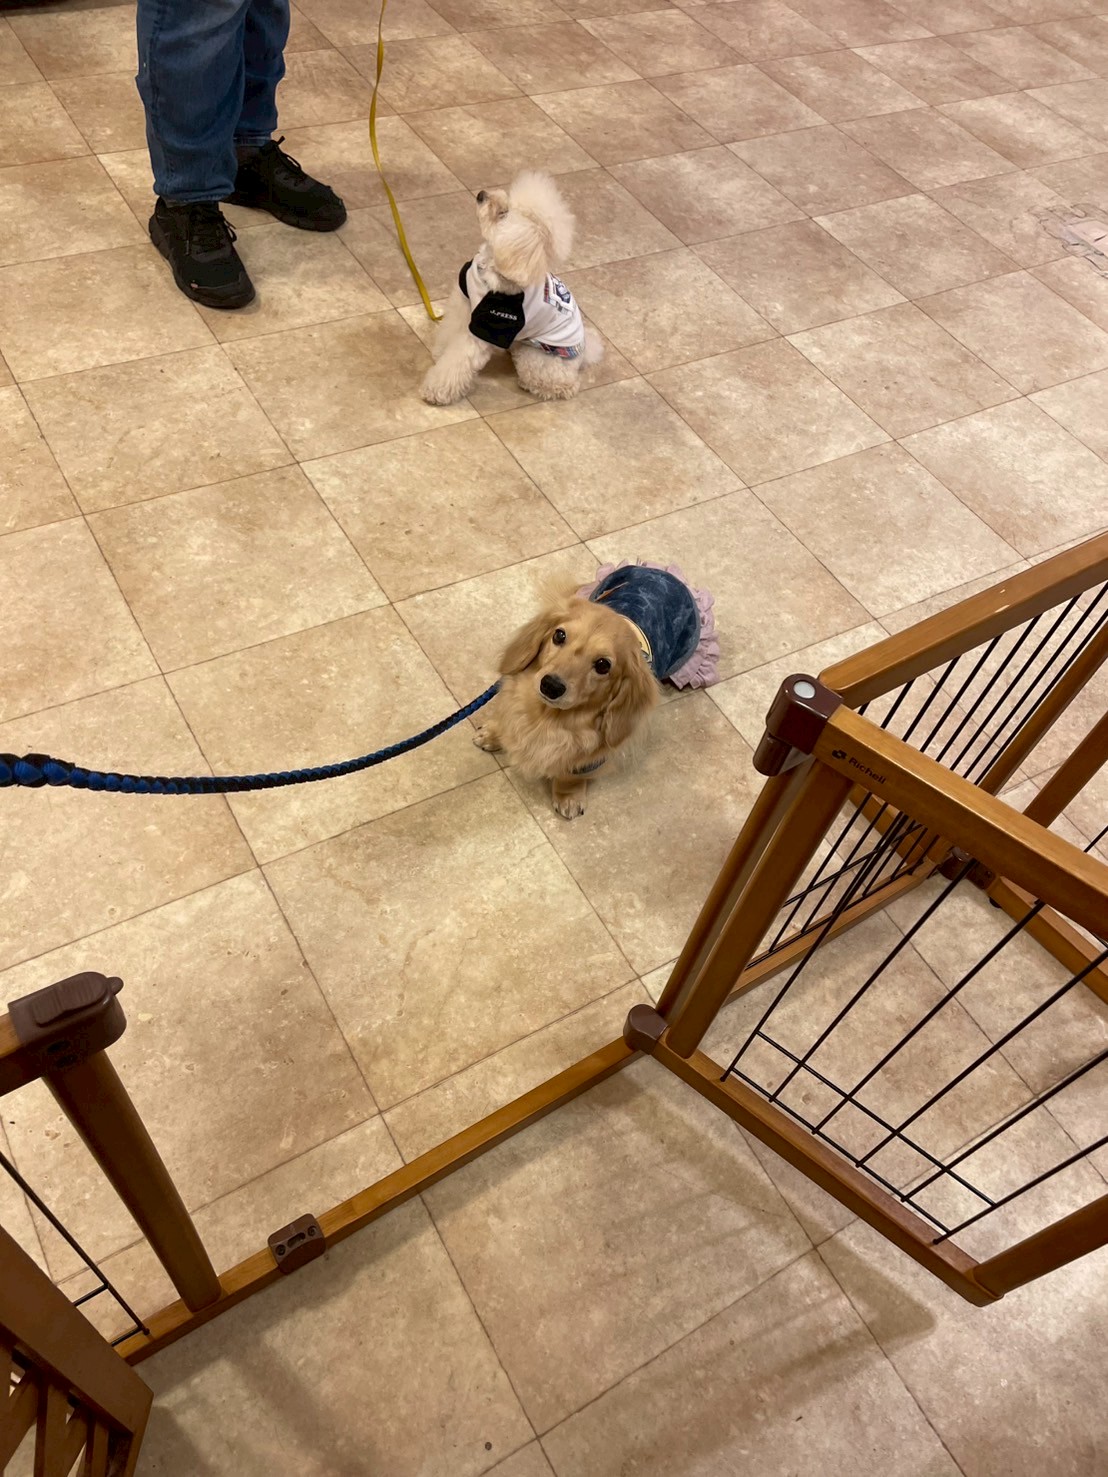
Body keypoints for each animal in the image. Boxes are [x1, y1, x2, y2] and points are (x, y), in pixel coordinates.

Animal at [421, 170, 603, 407]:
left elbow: (459, 359)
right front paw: (439, 353)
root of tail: (583, 351)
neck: (490, 267)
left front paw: (436, 391)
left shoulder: (488, 325)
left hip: (537, 357)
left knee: (564, 385)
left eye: (503, 214)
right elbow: (450, 332)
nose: (481, 194)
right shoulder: (465, 302)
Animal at [474, 587, 659, 819]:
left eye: (603, 665)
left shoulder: (589, 758)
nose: (551, 686)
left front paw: (568, 796)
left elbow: (571, 775)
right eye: (559, 635)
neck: (545, 718)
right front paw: (494, 734)